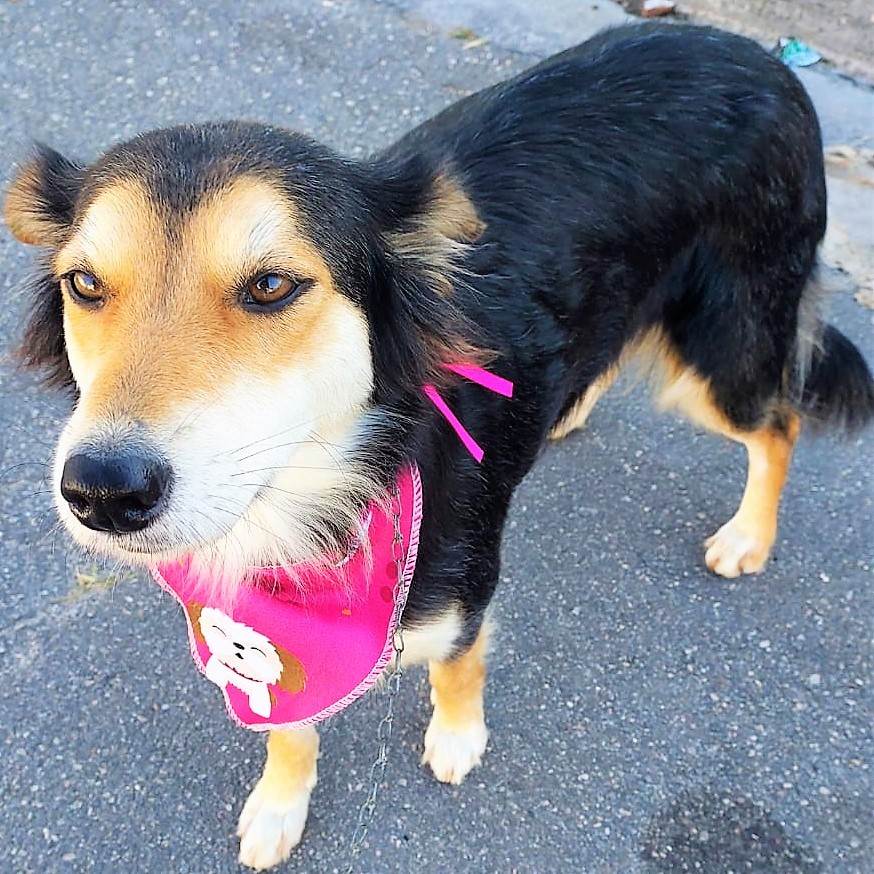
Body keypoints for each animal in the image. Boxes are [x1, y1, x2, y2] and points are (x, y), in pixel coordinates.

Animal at [5, 21, 873, 870]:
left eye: (272, 286)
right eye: (85, 285)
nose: (103, 490)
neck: (328, 494)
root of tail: (754, 52)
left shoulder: (464, 590)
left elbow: (459, 664)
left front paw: (457, 737)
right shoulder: (266, 644)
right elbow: (290, 726)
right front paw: (280, 803)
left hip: (721, 350)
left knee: (780, 423)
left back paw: (749, 535)